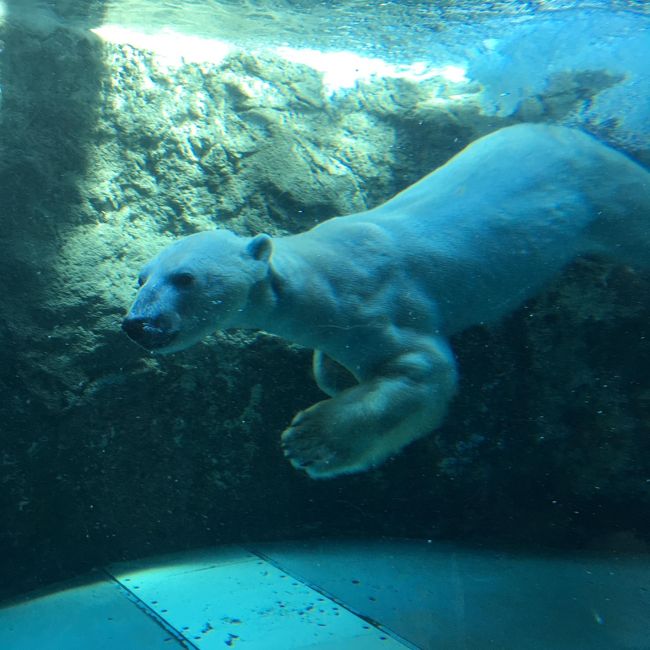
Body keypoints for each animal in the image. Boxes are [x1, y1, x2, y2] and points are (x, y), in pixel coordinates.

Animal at [121, 124, 648, 476]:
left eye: (185, 278)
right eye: (141, 278)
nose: (137, 324)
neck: (318, 280)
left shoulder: (378, 305)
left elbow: (424, 370)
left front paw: (311, 441)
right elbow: (334, 368)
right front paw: (335, 375)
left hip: (605, 192)